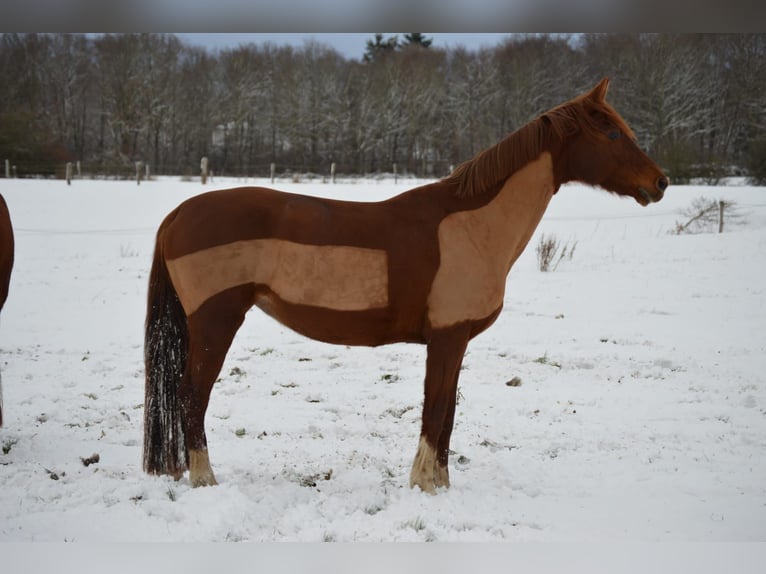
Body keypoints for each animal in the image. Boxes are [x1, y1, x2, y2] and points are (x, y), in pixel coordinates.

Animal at [143, 78, 668, 493]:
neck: (472, 226)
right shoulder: (447, 338)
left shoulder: (455, 341)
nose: (660, 183)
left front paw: (441, 483)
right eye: (611, 132)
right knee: (191, 395)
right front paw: (425, 485)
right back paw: (205, 479)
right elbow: (435, 411)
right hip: (216, 321)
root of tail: (176, 215)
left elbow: (448, 414)